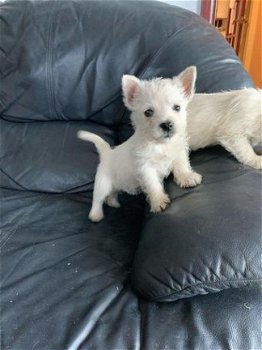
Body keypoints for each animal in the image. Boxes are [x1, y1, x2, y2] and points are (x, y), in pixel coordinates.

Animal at [77, 66, 201, 221]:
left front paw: (187, 177)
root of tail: (107, 153)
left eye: (177, 107)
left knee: (112, 193)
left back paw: (113, 203)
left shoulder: (178, 153)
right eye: (148, 112)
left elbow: (181, 165)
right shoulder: (145, 168)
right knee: (98, 199)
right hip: (102, 183)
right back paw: (96, 215)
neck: (160, 145)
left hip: (115, 185)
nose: (167, 125)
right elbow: (153, 184)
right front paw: (158, 201)